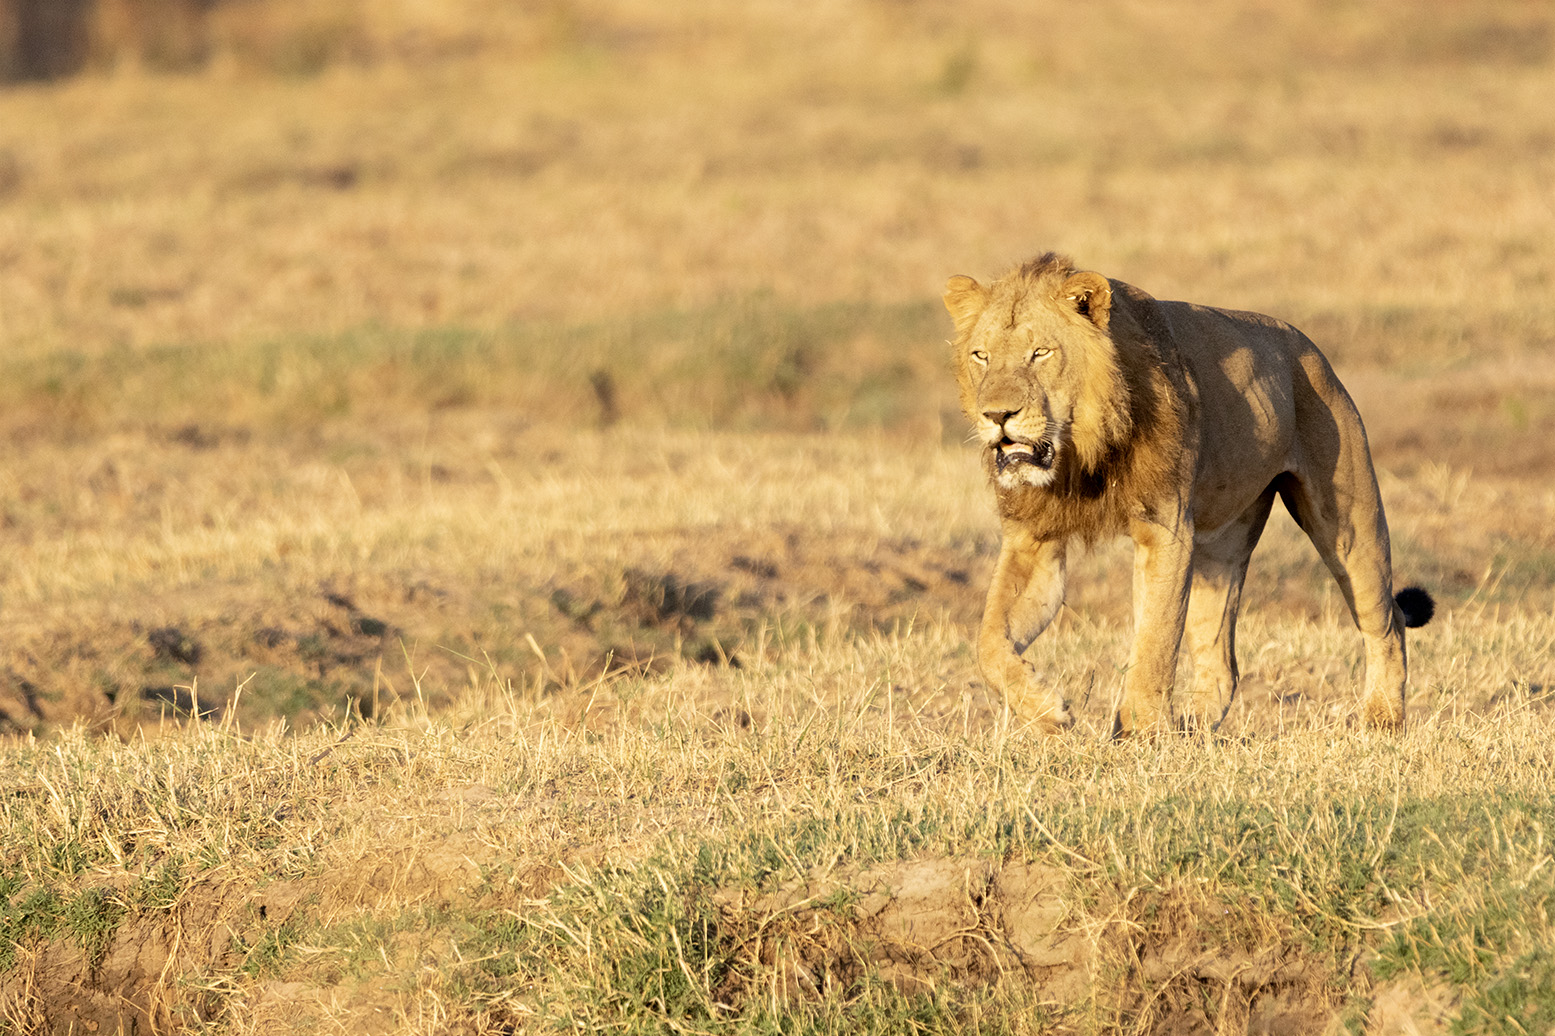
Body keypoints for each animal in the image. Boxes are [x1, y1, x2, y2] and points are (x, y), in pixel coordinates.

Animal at [932, 250, 1430, 734]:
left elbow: (1155, 640)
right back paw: (1194, 732)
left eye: (1040, 353)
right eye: (981, 356)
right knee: (1222, 663)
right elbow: (988, 642)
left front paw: (1141, 733)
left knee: (1388, 622)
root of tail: (1309, 350)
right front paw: (1048, 712)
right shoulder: (1034, 540)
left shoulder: (1165, 528)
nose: (997, 415)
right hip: (1222, 548)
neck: (1080, 455)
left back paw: (1382, 719)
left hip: (1348, 524)